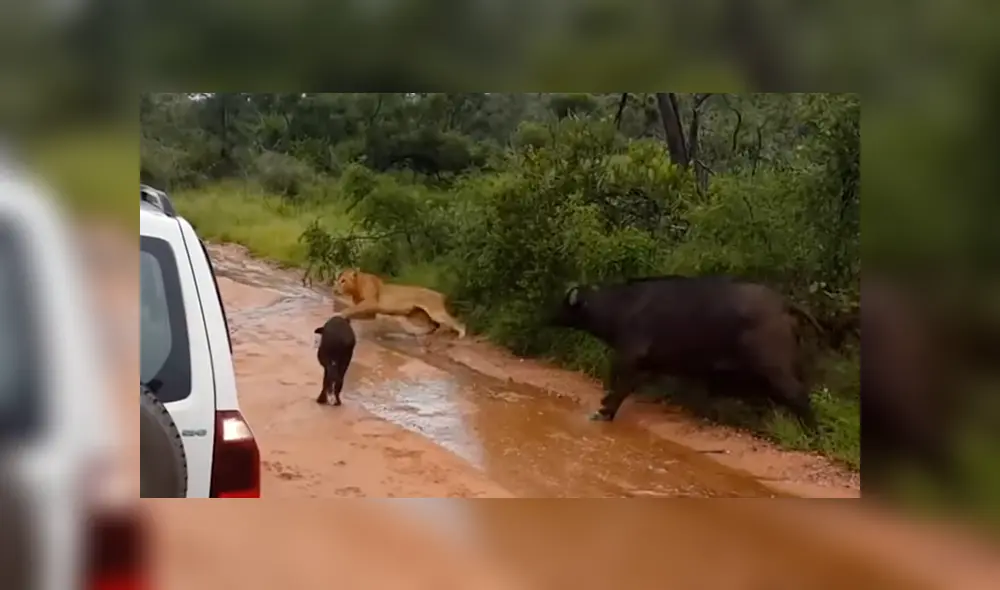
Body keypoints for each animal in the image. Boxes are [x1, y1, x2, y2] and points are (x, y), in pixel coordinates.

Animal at [332, 269, 467, 339]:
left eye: (343, 281)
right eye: (337, 280)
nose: (334, 289)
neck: (356, 287)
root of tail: (440, 294)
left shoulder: (372, 302)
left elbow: (351, 309)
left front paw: (339, 314)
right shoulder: (371, 313)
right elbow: (355, 311)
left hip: (436, 313)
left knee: (456, 323)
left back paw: (461, 334)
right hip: (419, 314)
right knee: (433, 326)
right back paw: (418, 334)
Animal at [550, 275, 821, 431]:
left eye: (564, 304)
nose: (549, 314)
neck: (624, 306)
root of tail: (783, 304)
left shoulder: (630, 357)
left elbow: (617, 384)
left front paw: (603, 410)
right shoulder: (646, 366)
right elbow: (624, 388)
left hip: (774, 369)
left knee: (798, 395)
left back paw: (811, 432)